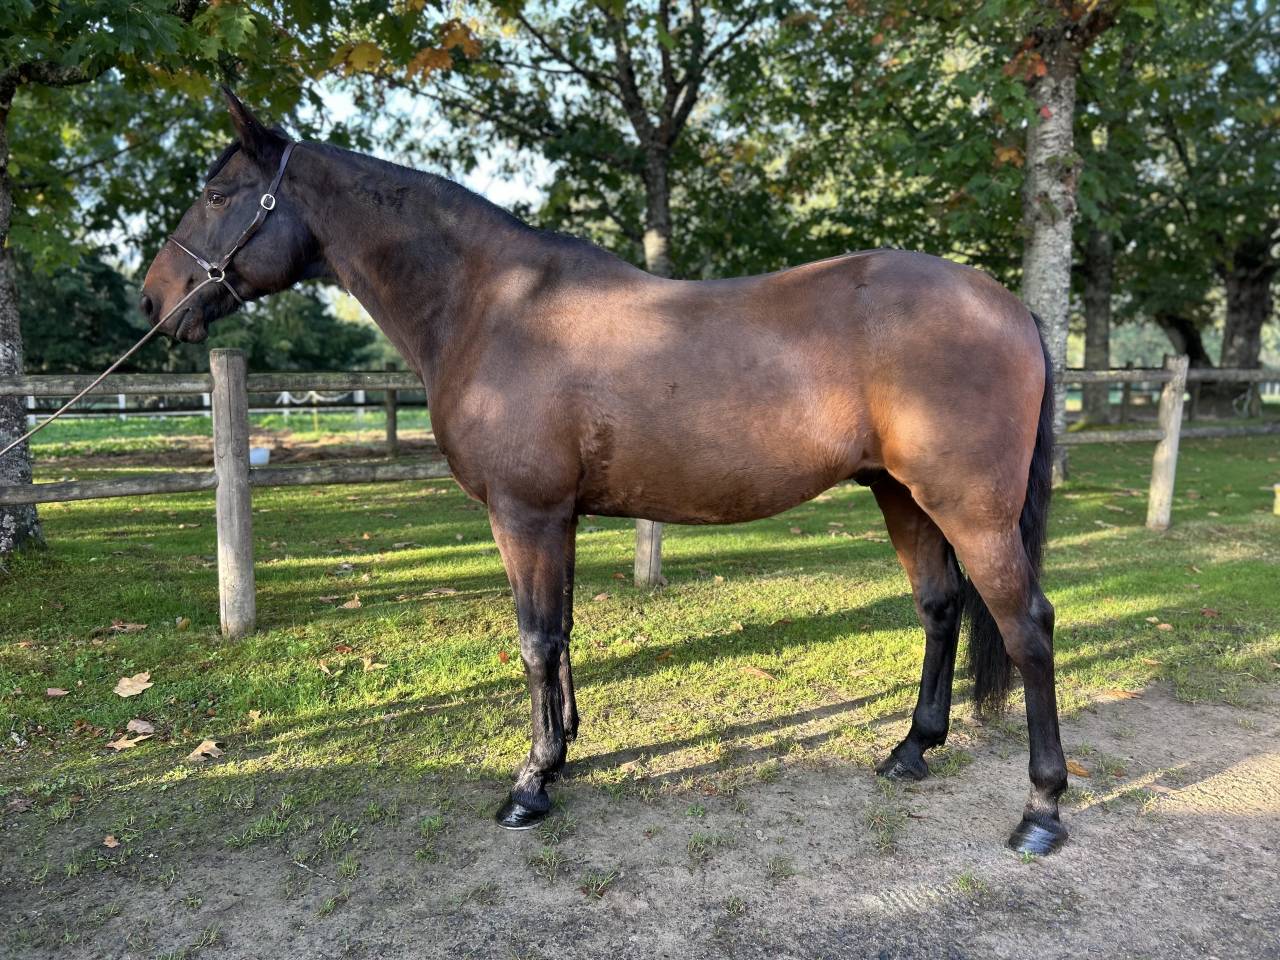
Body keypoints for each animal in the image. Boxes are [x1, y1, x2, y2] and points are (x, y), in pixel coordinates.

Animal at [139, 89, 1067, 856]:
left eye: (219, 195)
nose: (153, 298)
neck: (490, 305)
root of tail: (1008, 305)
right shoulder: (561, 518)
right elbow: (563, 632)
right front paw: (563, 754)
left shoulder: (525, 513)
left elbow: (535, 639)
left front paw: (530, 784)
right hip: (901, 495)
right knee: (941, 608)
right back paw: (912, 750)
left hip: (972, 510)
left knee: (1027, 628)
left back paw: (1041, 811)